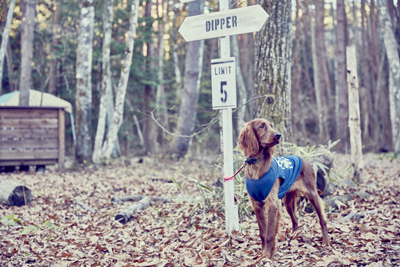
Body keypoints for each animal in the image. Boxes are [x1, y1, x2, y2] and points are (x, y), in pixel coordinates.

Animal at [239, 119, 330, 260]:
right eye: (261, 126)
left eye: (271, 125)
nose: (278, 135)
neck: (256, 164)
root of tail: (304, 159)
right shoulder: (257, 204)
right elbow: (262, 232)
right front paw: (262, 252)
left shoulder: (272, 203)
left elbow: (270, 233)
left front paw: (267, 255)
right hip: (287, 201)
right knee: (295, 219)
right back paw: (294, 237)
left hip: (312, 194)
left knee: (322, 219)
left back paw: (326, 241)